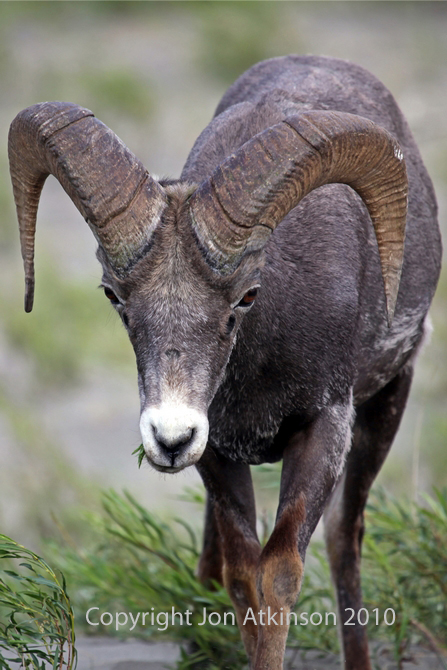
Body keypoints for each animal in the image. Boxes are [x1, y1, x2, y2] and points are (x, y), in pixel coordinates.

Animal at [9, 55, 441, 669]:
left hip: (388, 404)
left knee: (344, 536)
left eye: (246, 296)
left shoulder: (324, 431)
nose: (170, 437)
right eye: (114, 295)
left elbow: (280, 572)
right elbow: (242, 574)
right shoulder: (217, 453)